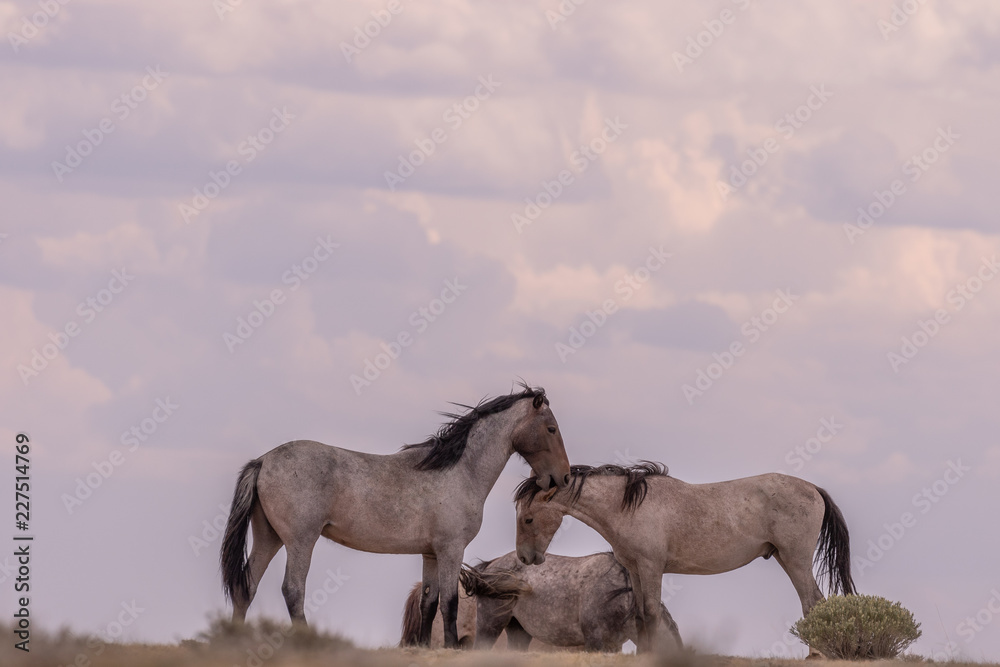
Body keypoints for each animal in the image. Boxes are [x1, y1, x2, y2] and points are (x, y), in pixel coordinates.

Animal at [223, 384, 576, 648]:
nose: (563, 477)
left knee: (246, 587)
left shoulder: (430, 553)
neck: (459, 471)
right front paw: (450, 647)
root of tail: (263, 461)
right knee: (293, 590)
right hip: (300, 541)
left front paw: (423, 646)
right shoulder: (451, 550)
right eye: (551, 428)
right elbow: (450, 602)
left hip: (269, 538)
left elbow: (429, 603)